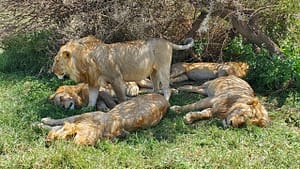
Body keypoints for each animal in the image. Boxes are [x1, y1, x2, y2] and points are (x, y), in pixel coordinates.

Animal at [51, 36, 193, 106]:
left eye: (57, 60)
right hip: (153, 72)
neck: (83, 61)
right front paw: (88, 109)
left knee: (166, 88)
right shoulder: (93, 81)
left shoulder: (116, 78)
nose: (53, 71)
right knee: (156, 88)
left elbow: (120, 96)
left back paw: (166, 100)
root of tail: (168, 42)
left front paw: (122, 106)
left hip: (163, 68)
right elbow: (92, 98)